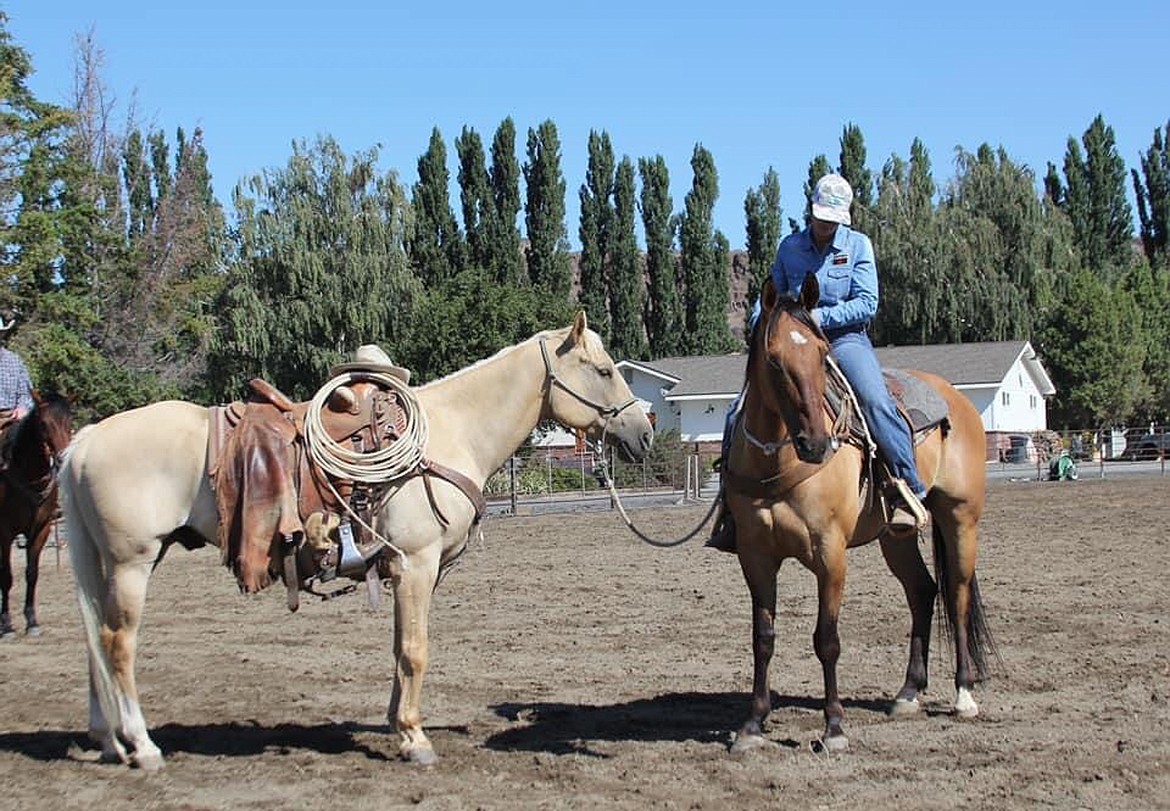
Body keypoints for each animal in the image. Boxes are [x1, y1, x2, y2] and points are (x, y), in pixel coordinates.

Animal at [0, 388, 74, 636]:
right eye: (43, 423)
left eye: (69, 420)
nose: (62, 457)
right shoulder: (5, 533)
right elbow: (7, 576)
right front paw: (7, 625)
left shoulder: (41, 528)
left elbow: (32, 573)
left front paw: (32, 622)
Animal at [61, 313, 659, 767]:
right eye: (604, 370)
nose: (645, 433)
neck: (450, 432)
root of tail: (85, 439)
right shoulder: (417, 564)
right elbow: (416, 650)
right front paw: (415, 740)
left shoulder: (406, 570)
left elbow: (400, 648)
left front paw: (397, 725)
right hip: (132, 562)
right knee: (117, 643)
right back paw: (143, 747)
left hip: (109, 562)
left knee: (93, 641)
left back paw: (108, 741)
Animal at [725, 277, 992, 753]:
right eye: (773, 359)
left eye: (821, 352)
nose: (816, 444)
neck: (777, 461)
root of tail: (955, 399)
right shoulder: (755, 556)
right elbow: (763, 639)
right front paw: (753, 724)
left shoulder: (830, 555)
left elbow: (827, 640)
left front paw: (833, 728)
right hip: (895, 536)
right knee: (923, 591)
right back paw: (908, 693)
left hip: (961, 518)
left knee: (956, 595)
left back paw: (963, 695)